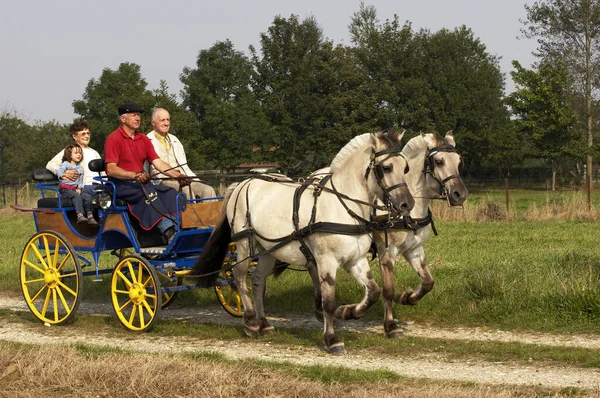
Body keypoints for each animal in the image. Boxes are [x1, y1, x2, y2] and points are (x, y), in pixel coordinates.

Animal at [190, 131, 414, 354]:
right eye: (386, 167)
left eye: (406, 168)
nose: (408, 204)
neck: (343, 206)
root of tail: (242, 184)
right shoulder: (326, 261)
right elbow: (328, 302)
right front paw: (332, 339)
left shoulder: (355, 259)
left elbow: (374, 291)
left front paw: (347, 312)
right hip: (245, 242)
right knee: (240, 276)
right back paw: (251, 322)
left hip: (268, 249)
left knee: (258, 279)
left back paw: (264, 323)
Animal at [376, 132, 468, 338]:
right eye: (439, 161)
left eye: (459, 162)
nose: (460, 195)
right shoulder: (387, 253)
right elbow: (388, 289)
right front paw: (390, 325)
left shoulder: (414, 249)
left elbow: (427, 282)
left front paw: (407, 297)